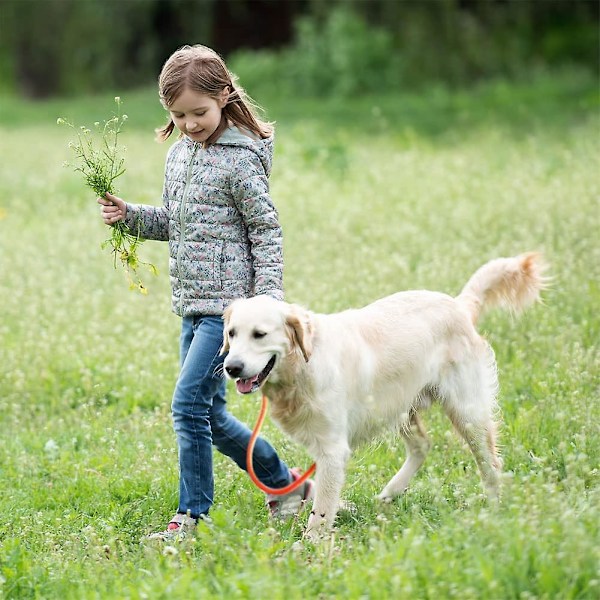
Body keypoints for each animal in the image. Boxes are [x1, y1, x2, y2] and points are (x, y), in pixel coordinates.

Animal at [223, 253, 548, 540]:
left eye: (260, 334)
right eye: (231, 333)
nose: (231, 367)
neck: (303, 365)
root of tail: (457, 305)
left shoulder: (332, 451)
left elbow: (321, 512)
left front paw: (310, 549)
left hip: (466, 412)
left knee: (489, 464)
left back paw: (494, 511)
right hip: (399, 406)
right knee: (422, 446)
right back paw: (391, 492)